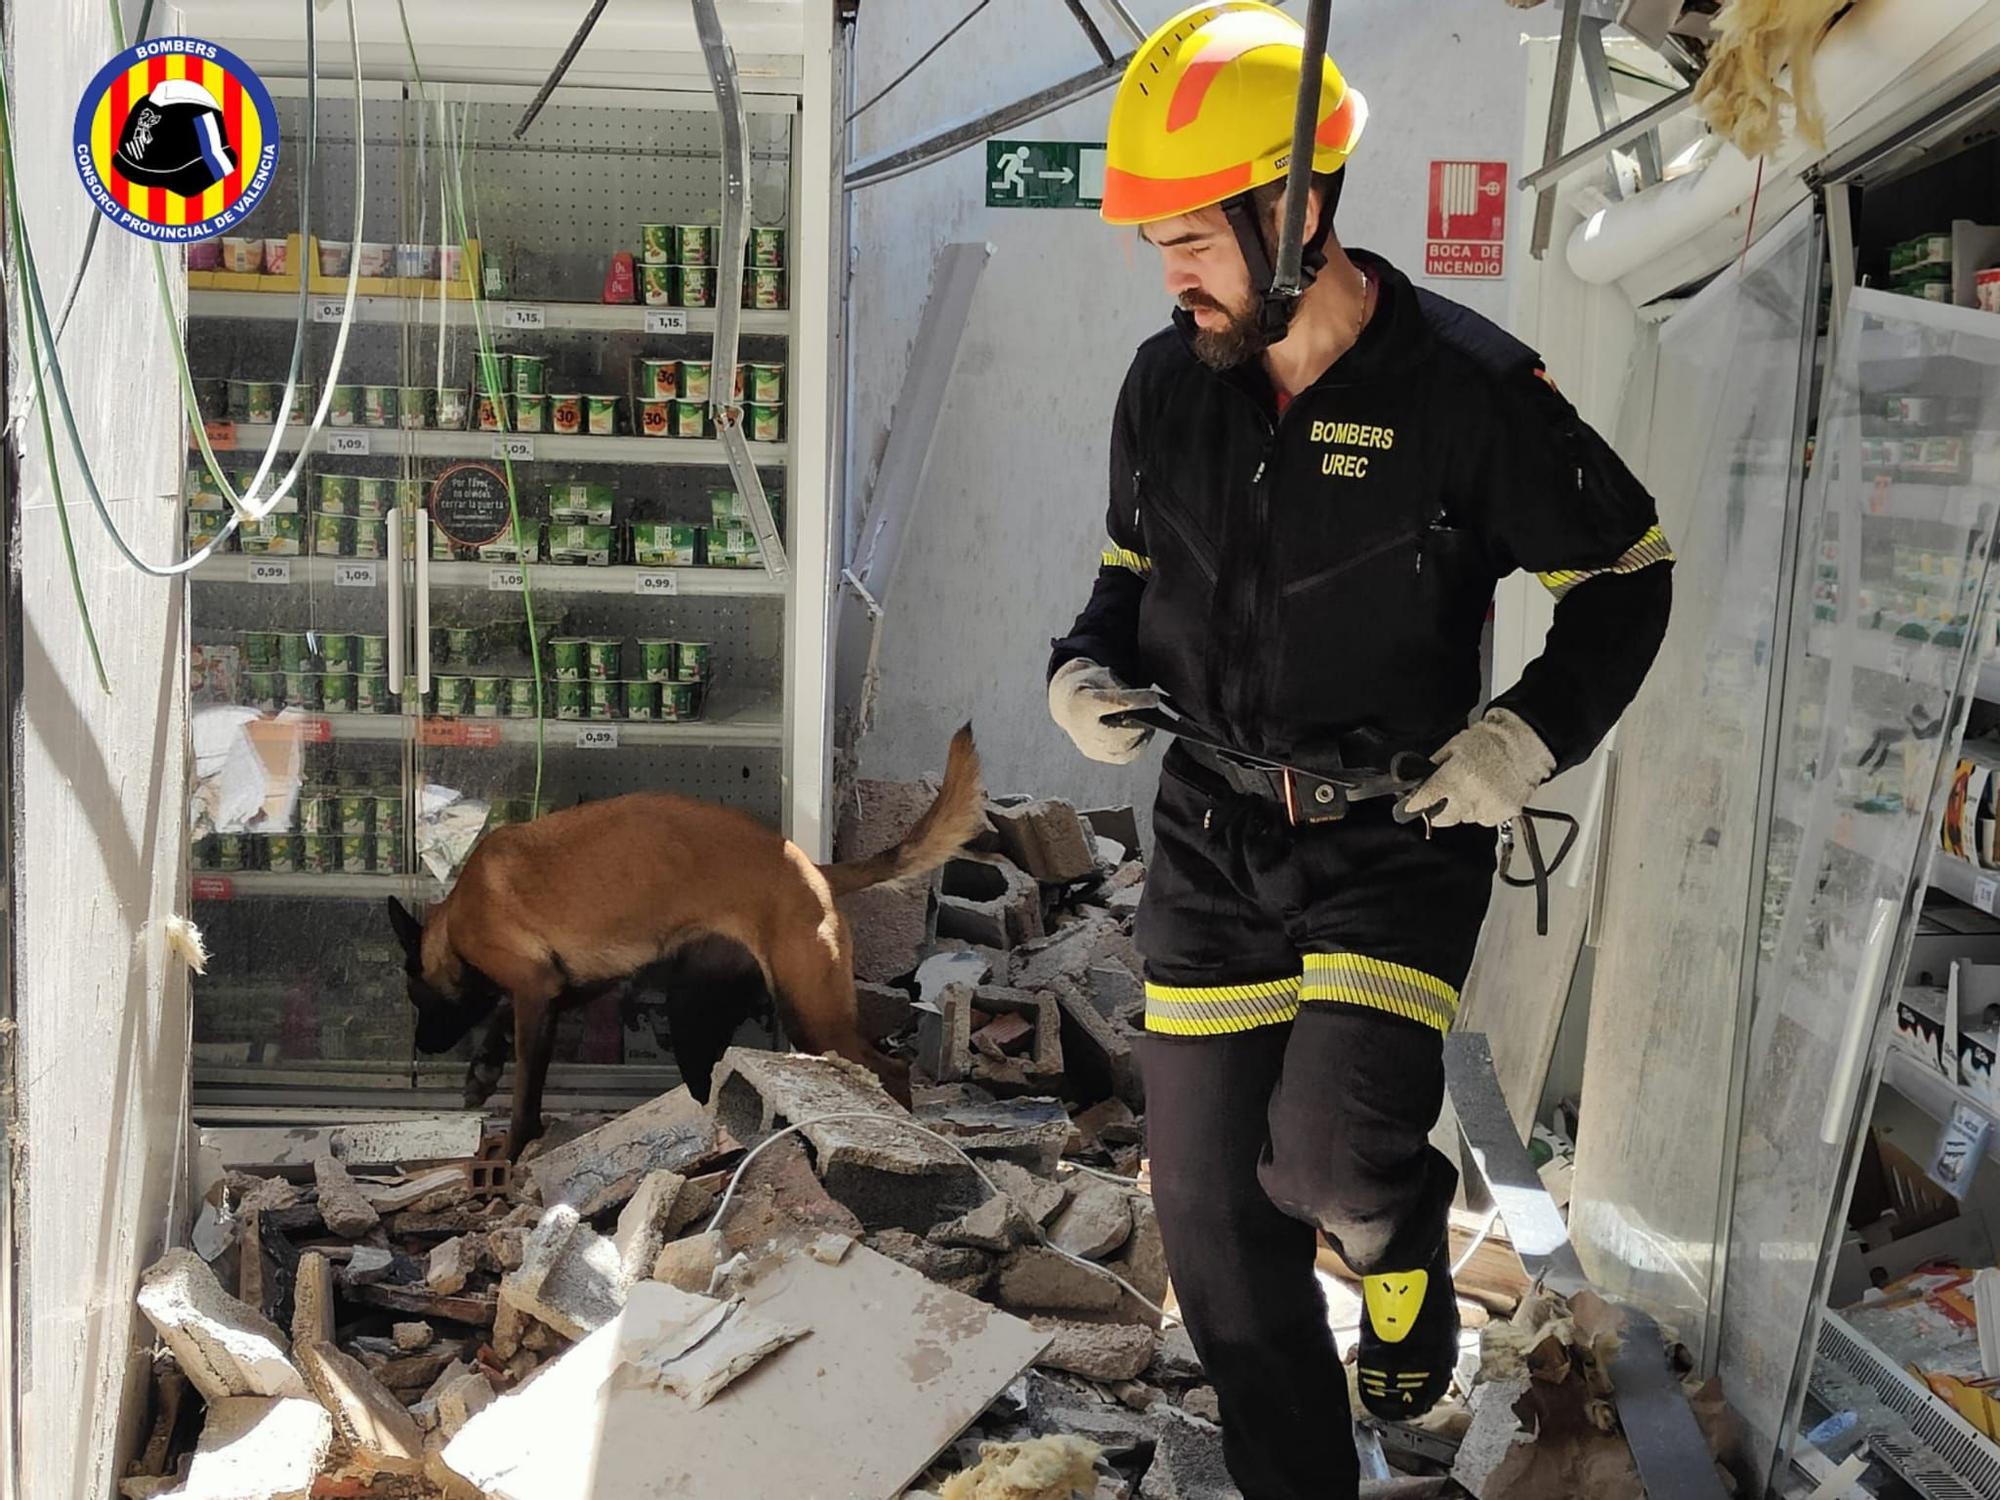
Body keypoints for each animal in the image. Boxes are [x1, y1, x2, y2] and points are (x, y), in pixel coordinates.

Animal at [386, 728, 980, 1160]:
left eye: (417, 998)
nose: (422, 1048)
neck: (459, 912)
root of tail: (813, 869)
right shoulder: (567, 986)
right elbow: (499, 1018)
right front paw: (482, 1071)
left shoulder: (535, 990)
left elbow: (525, 1086)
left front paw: (510, 1149)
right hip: (698, 1014)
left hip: (810, 1013)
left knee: (891, 1070)